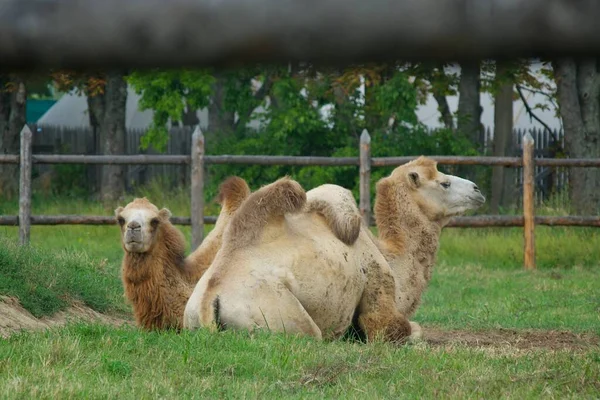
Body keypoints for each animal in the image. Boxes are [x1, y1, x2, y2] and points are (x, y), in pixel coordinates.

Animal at [185, 158, 486, 342]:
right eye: (444, 183)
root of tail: (208, 301)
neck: (389, 256)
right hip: (281, 315)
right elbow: (404, 329)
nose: (477, 189)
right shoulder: (379, 290)